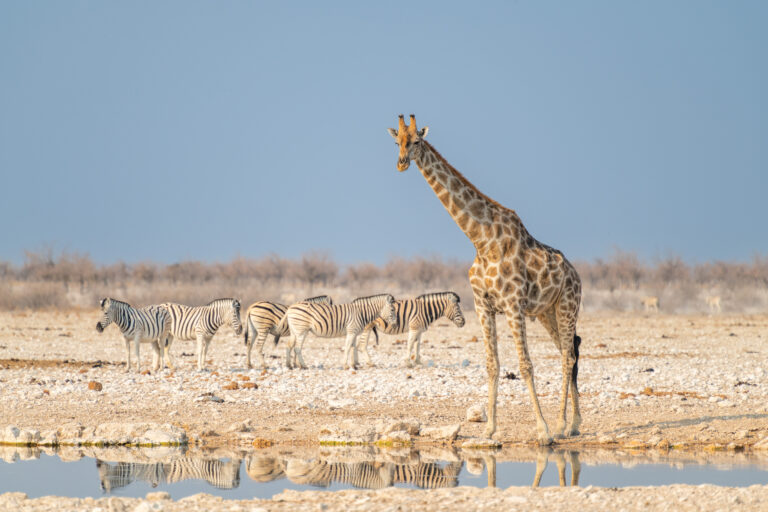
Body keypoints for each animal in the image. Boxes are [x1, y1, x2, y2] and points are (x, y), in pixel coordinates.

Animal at [388, 115, 583, 444]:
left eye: (416, 140)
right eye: (396, 141)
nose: (401, 163)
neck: (481, 239)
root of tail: (577, 275)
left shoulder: (513, 305)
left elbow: (525, 365)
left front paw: (542, 430)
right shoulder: (483, 306)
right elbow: (492, 365)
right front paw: (490, 428)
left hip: (568, 306)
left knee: (568, 357)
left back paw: (560, 426)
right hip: (547, 312)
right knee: (568, 352)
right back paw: (575, 423)